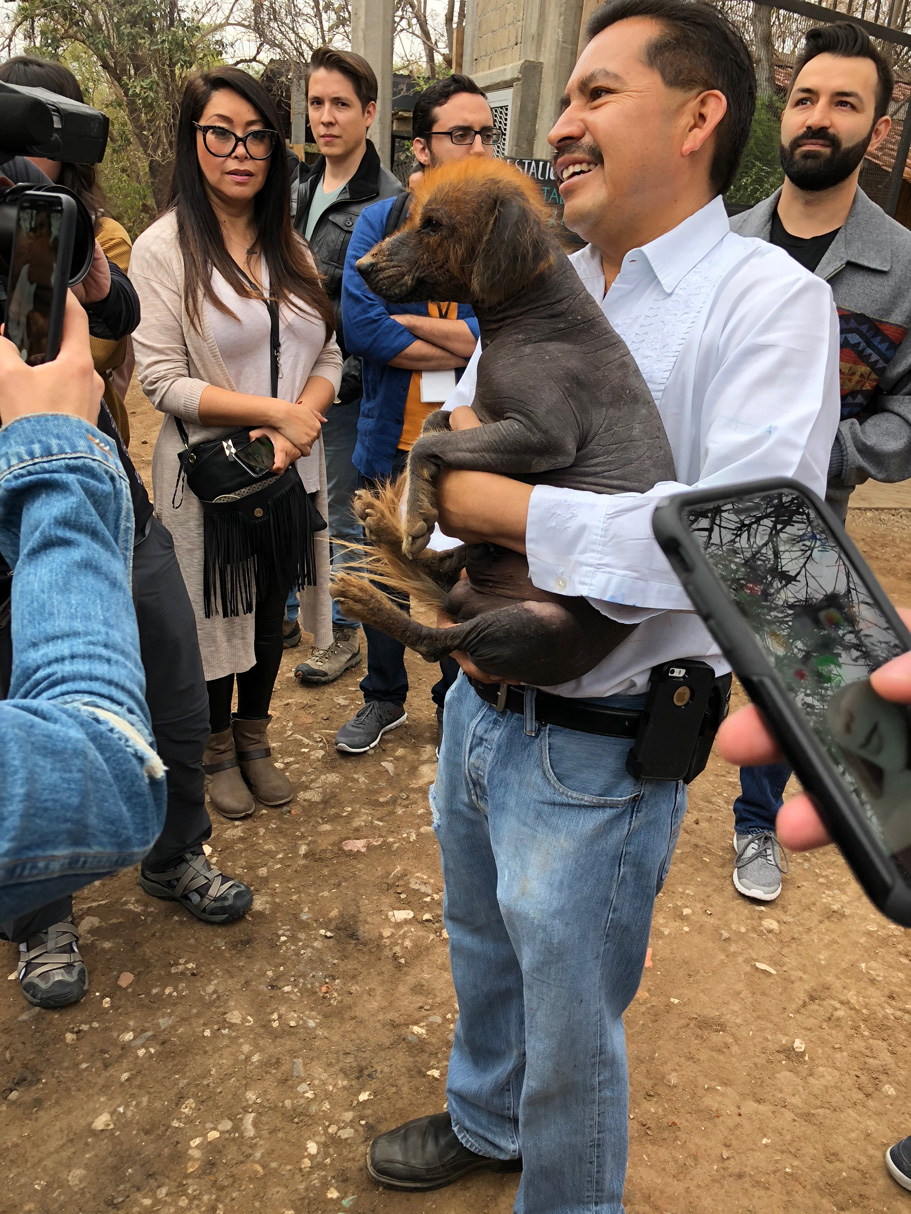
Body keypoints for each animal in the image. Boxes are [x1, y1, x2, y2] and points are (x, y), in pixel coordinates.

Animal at [332, 156, 675, 689]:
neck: (536, 317)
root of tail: (469, 600)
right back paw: (384, 528)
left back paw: (369, 597)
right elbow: (434, 424)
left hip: (531, 626)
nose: (362, 266)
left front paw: (418, 512)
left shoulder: (543, 437)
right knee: (439, 567)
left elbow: (424, 445)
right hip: (478, 569)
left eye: (433, 224)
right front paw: (416, 508)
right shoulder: (482, 417)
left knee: (437, 640)